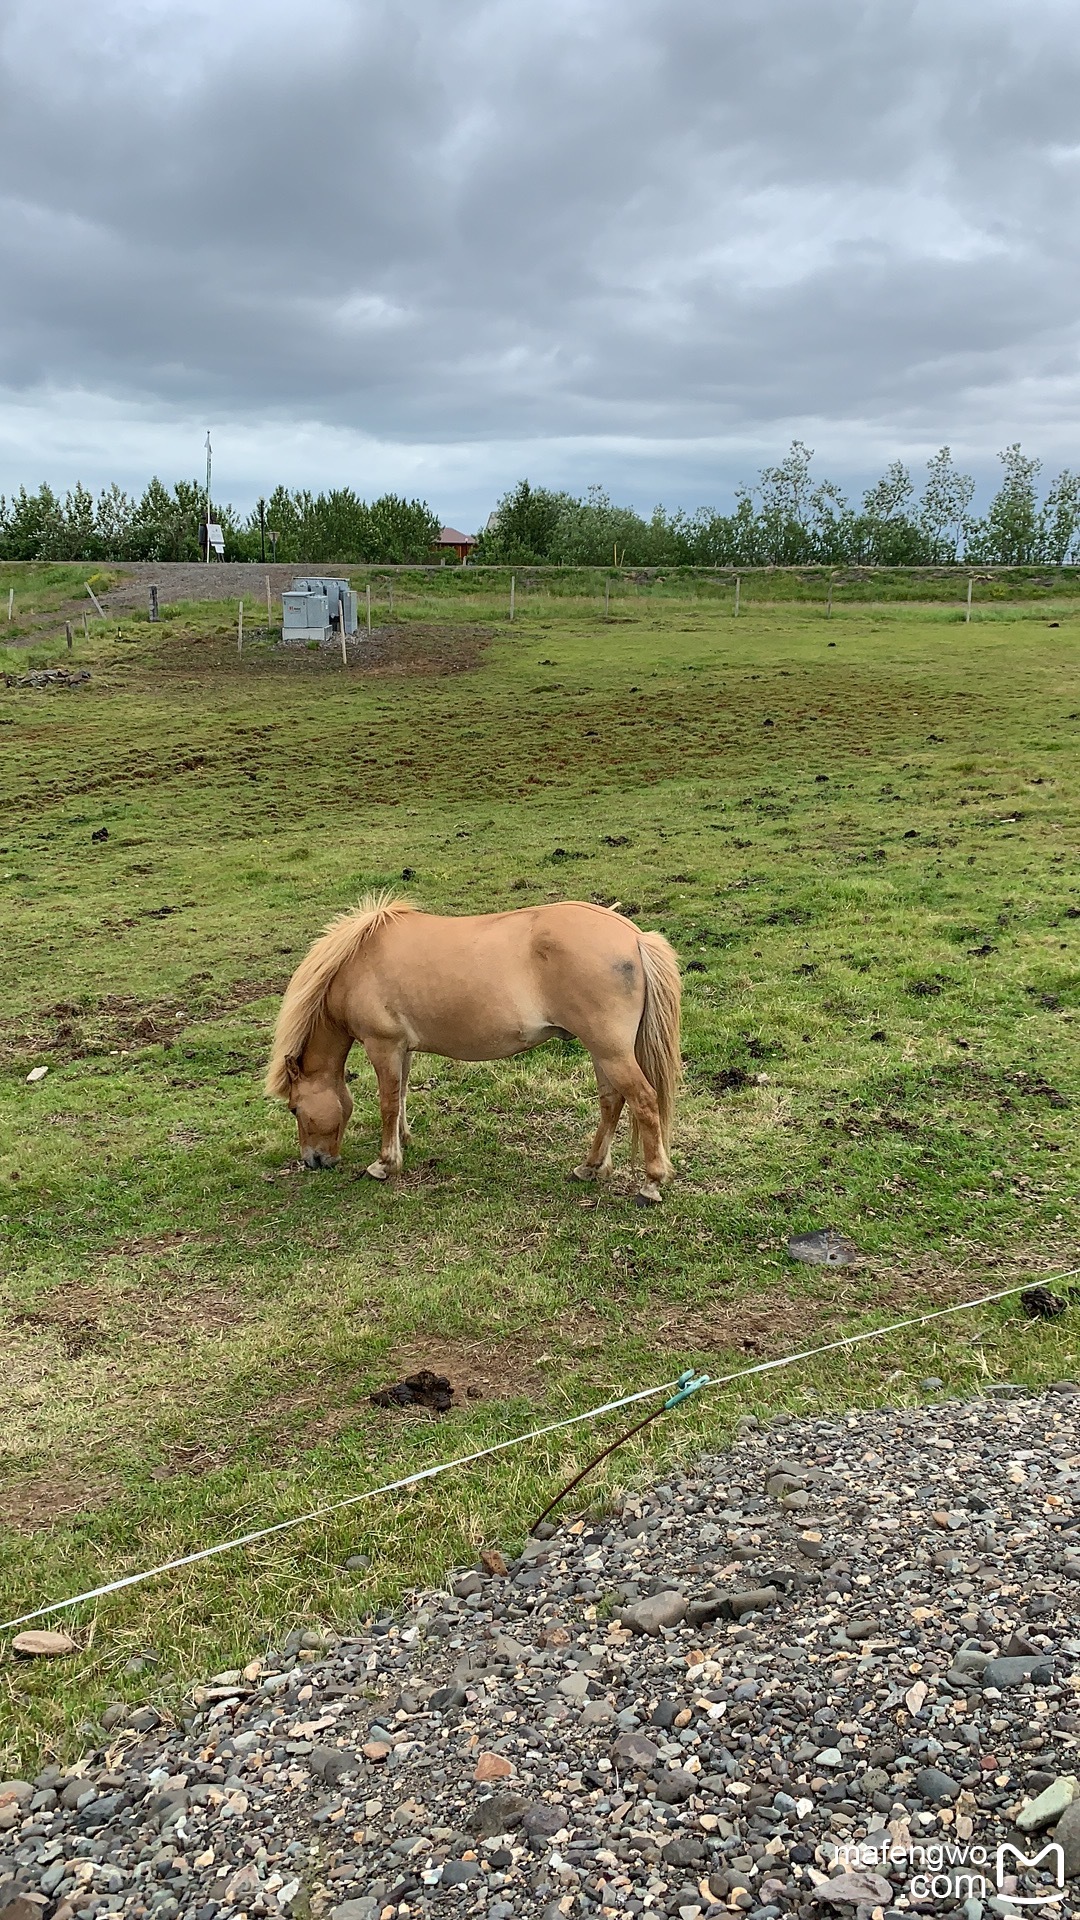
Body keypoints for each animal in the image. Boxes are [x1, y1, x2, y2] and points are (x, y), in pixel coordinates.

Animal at [263, 894, 676, 1198]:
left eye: (295, 1108)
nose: (313, 1161)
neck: (356, 964)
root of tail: (634, 937)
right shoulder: (402, 1049)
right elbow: (401, 1096)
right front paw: (405, 1140)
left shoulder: (383, 1046)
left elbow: (387, 1103)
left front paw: (384, 1164)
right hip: (601, 1050)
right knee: (611, 1102)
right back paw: (590, 1168)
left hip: (609, 1050)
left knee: (642, 1101)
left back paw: (651, 1183)